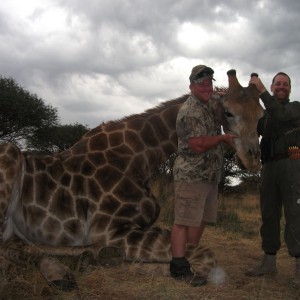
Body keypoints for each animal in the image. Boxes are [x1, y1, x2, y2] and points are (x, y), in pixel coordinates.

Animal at [0, 69, 262, 288]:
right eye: (228, 112)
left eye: (261, 115)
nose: (252, 159)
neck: (142, 158)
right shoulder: (108, 230)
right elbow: (205, 257)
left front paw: (99, 257)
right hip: (9, 156)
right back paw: (66, 270)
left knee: (20, 244)